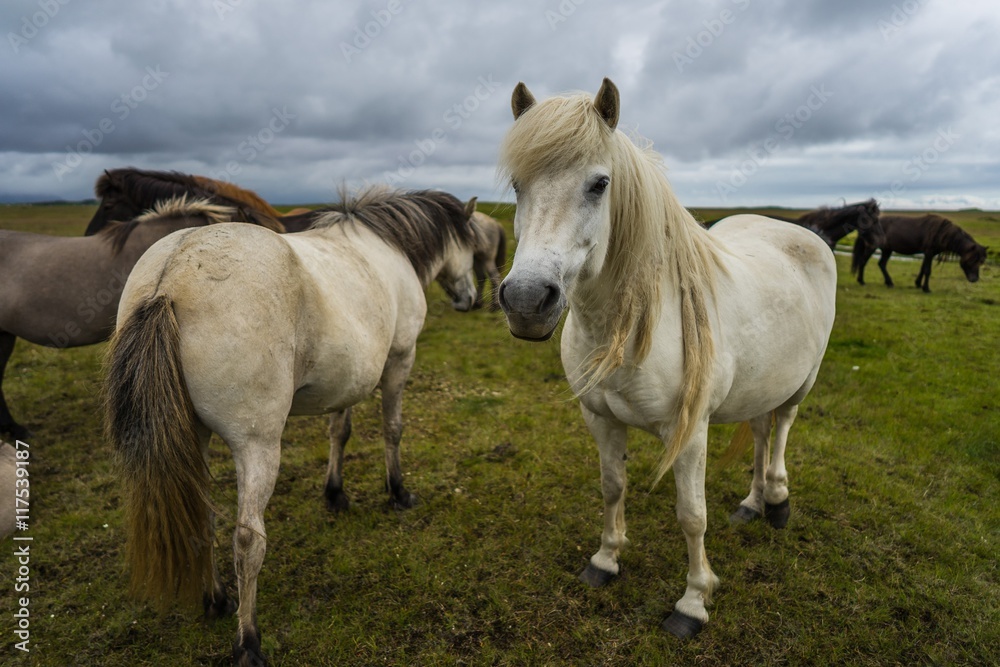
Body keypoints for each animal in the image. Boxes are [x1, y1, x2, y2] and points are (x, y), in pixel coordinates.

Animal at [103, 187, 478, 666]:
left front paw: (335, 494)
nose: (471, 299)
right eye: (471, 243)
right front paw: (398, 493)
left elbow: (340, 432)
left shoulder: (345, 383)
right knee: (249, 540)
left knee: (202, 516)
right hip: (258, 445)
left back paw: (217, 600)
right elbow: (392, 429)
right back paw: (248, 642)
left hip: (192, 439)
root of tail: (169, 278)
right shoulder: (399, 360)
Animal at [496, 79, 837, 638]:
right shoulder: (599, 417)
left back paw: (777, 501)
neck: (630, 327)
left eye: (600, 184)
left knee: (783, 427)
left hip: (801, 382)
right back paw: (752, 504)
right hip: (761, 383)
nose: (526, 301)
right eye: (517, 186)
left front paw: (693, 603)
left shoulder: (690, 431)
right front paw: (606, 559)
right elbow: (612, 487)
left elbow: (691, 515)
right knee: (761, 431)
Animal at [851, 214, 988, 292]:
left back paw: (889, 283)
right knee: (863, 261)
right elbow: (927, 270)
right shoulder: (929, 252)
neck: (942, 233)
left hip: (887, 249)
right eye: (972, 259)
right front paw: (926, 288)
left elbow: (922, 269)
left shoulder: (929, 254)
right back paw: (861, 281)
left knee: (882, 264)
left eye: (981, 261)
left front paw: (917, 284)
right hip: (873, 247)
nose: (974, 279)